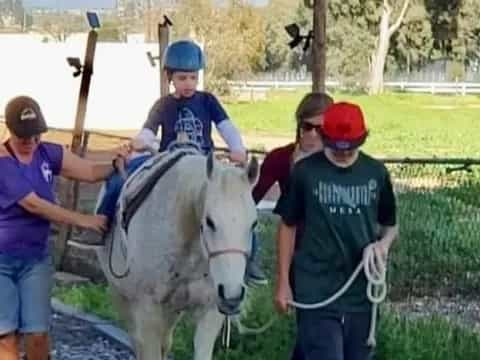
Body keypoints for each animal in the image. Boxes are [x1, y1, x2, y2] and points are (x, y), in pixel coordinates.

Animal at [94, 150, 258, 360]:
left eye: (254, 223)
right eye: (209, 221)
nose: (232, 295)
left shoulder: (210, 310)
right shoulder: (147, 311)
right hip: (122, 297)